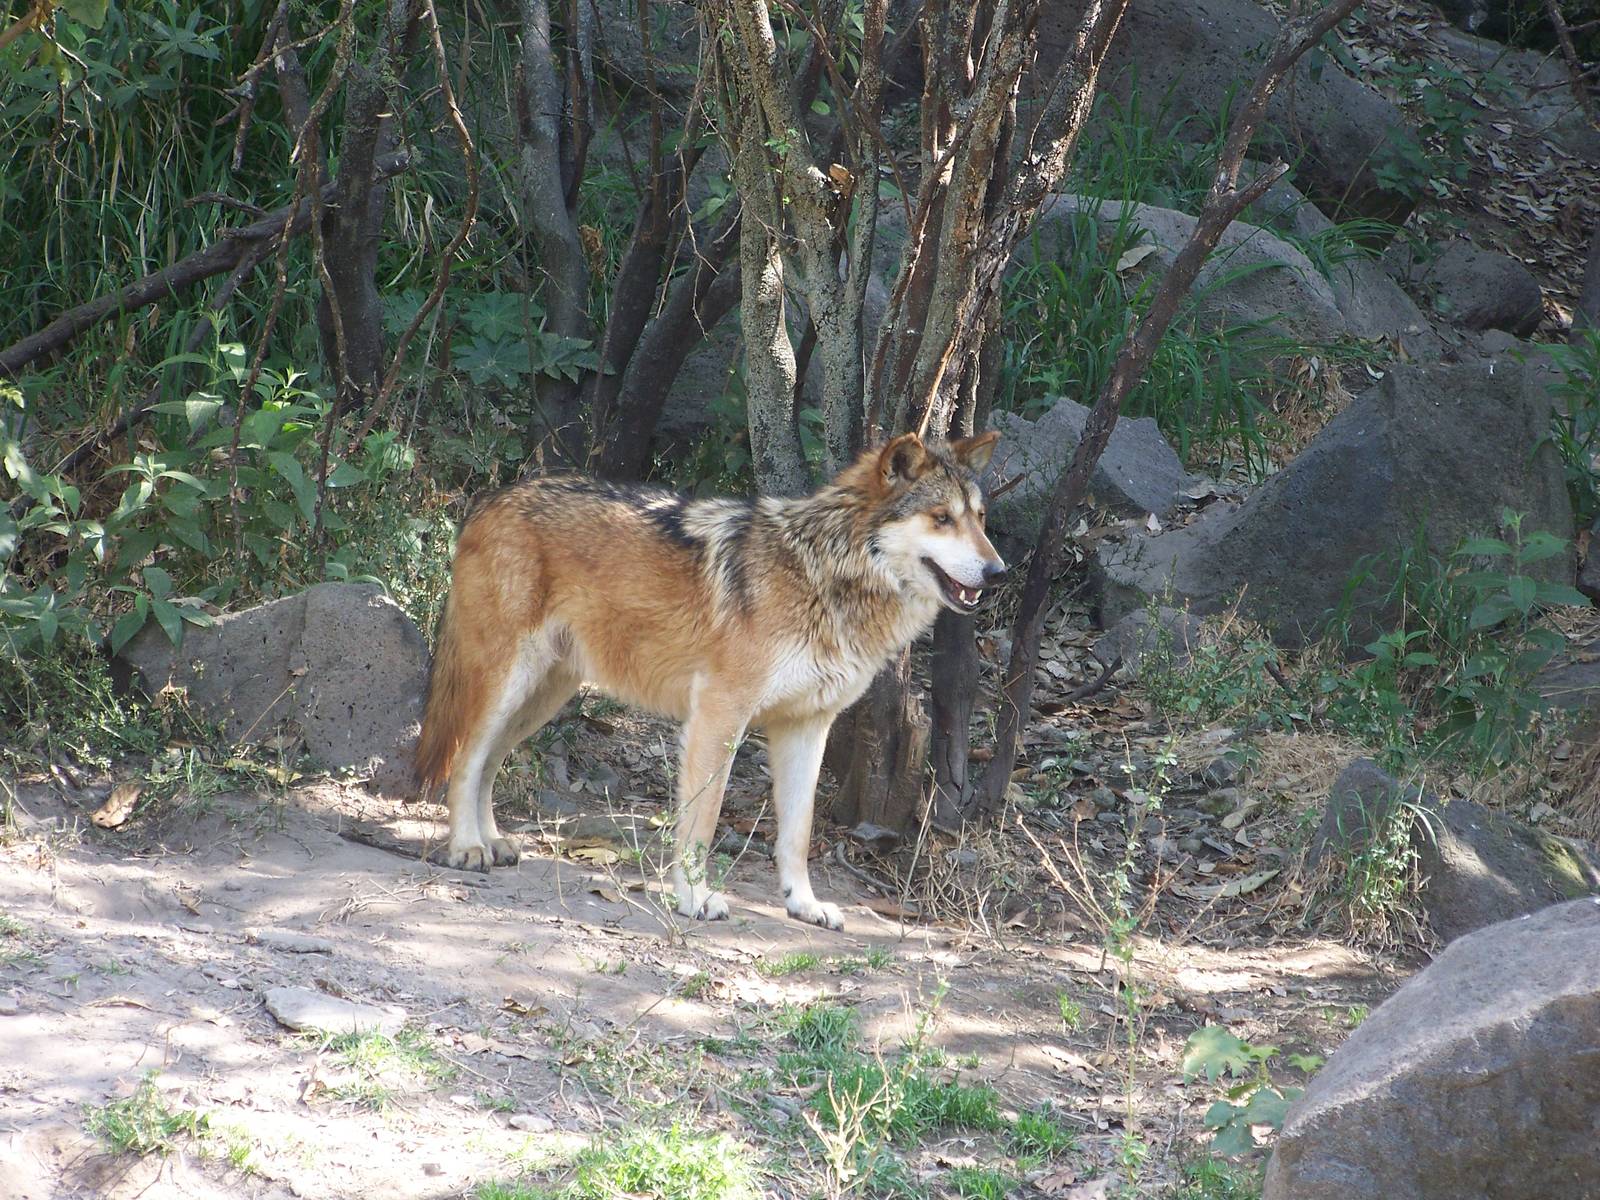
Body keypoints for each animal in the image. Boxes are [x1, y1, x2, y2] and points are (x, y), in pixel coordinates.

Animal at [413, 431, 1005, 930]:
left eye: (979, 519)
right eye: (941, 518)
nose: (998, 572)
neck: (824, 574)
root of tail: (490, 499)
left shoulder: (807, 728)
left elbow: (797, 832)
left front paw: (804, 904)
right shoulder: (719, 715)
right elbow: (701, 821)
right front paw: (695, 897)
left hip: (543, 699)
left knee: (488, 763)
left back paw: (493, 842)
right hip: (505, 685)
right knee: (465, 757)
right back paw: (465, 848)